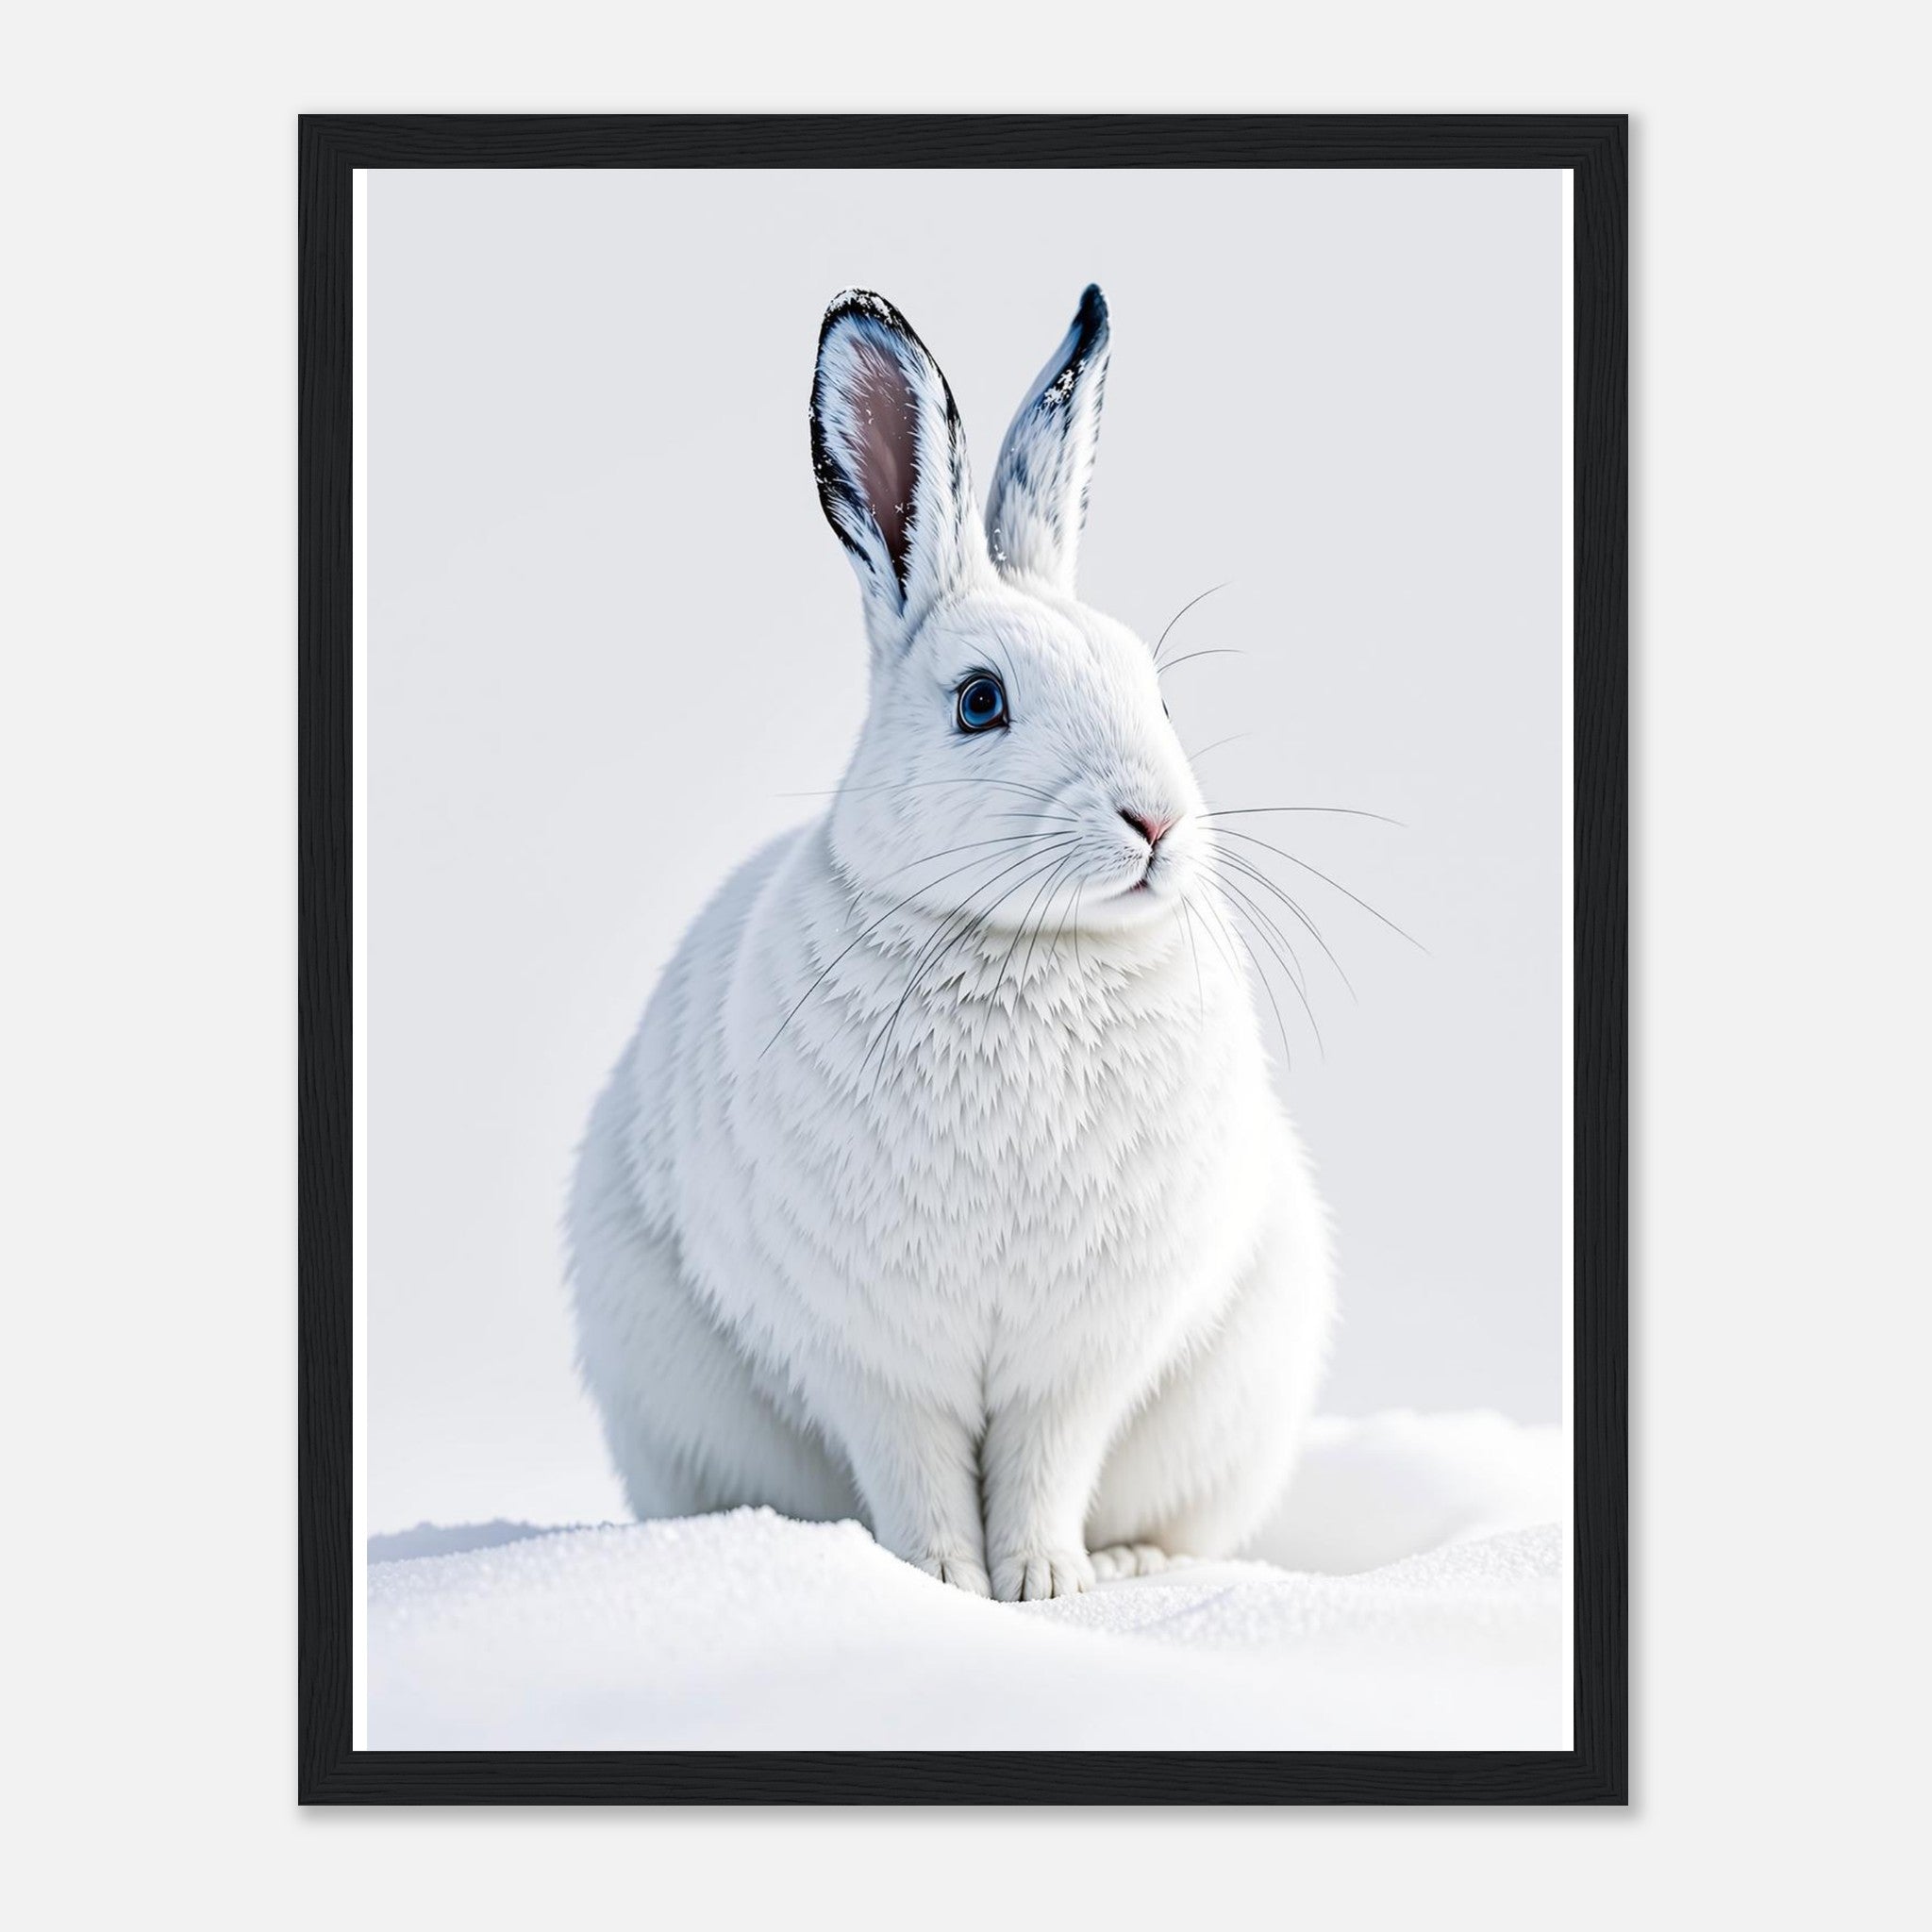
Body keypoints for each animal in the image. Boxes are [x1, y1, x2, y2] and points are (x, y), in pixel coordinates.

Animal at [568, 285, 1334, 1600]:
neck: (1024, 940)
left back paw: (1129, 1559)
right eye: (980, 701)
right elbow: (915, 1464)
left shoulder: (1076, 1356)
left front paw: (1043, 1584)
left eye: (1157, 690)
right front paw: (942, 1583)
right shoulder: (869, 1353)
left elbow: (1044, 1463)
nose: (1154, 821)